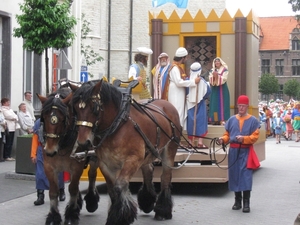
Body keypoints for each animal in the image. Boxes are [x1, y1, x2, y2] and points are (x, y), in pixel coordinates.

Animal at [37, 86, 99, 225]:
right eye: (44, 117)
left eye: (62, 120)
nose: (50, 150)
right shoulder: (49, 167)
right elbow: (53, 191)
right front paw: (54, 217)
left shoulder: (76, 167)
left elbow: (72, 189)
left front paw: (71, 215)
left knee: (91, 174)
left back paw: (91, 201)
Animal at [69, 80, 182, 224]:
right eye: (76, 109)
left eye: (94, 108)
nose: (83, 143)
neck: (117, 125)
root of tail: (166, 103)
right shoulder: (106, 164)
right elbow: (112, 190)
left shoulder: (133, 159)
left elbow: (119, 185)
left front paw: (121, 216)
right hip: (148, 152)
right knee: (148, 170)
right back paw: (147, 201)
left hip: (169, 150)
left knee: (165, 177)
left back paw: (162, 210)